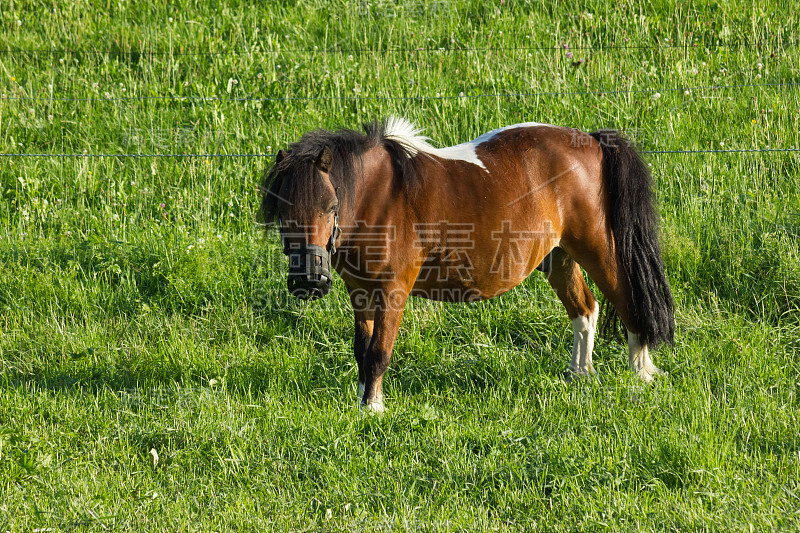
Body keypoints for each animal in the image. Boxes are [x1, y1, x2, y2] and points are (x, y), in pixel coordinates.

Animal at [262, 117, 676, 412]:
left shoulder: (394, 289)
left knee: (628, 299)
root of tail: (591, 141)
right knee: (585, 309)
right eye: (281, 210)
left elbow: (379, 351)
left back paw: (641, 372)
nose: (309, 280)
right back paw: (579, 375)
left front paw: (373, 410)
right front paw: (361, 403)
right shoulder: (360, 290)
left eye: (330, 206)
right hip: (558, 256)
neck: (378, 196)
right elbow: (362, 349)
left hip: (596, 246)